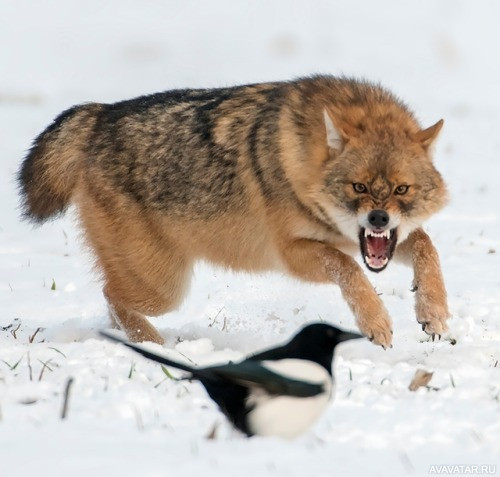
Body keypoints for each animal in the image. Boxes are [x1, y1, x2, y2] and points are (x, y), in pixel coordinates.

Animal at [17, 76, 452, 348]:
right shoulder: (294, 254)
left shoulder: (370, 241)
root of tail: (98, 116)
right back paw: (158, 347)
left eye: (401, 190)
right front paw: (376, 323)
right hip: (164, 288)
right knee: (111, 295)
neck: (301, 162)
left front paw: (433, 314)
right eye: (358, 188)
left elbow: (428, 248)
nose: (378, 219)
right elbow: (350, 272)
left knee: (111, 300)